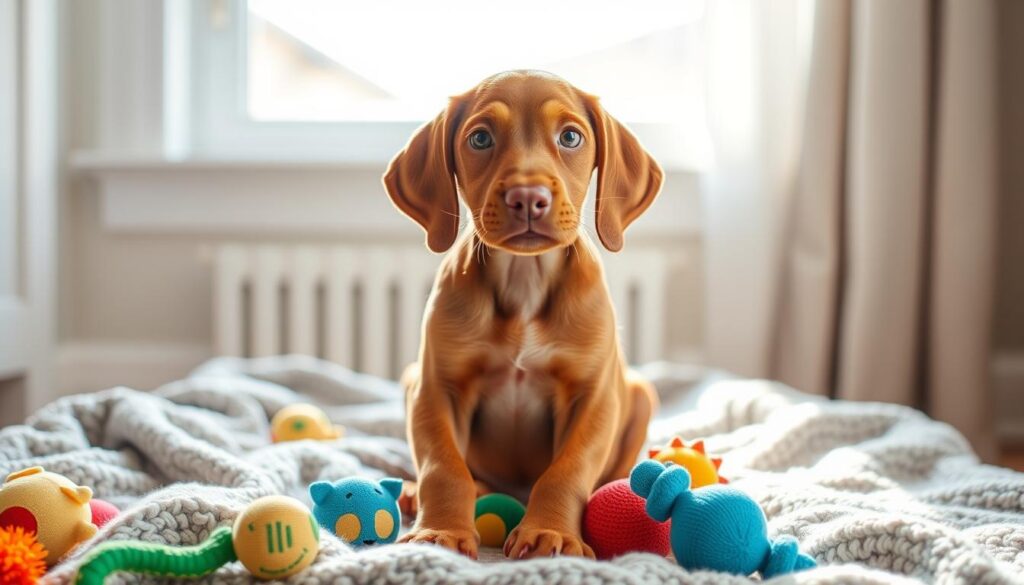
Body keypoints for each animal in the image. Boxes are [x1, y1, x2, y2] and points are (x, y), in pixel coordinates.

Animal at [385, 68, 663, 557]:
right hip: (410, 378)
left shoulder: (592, 396)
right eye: (479, 138)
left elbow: (566, 471)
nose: (527, 197)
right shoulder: (436, 388)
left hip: (641, 394)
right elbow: (444, 467)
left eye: (570, 136)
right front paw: (441, 532)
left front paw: (552, 533)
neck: (524, 281)